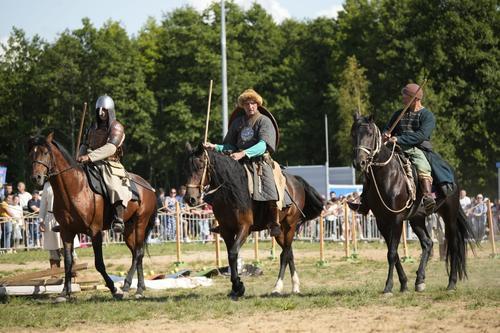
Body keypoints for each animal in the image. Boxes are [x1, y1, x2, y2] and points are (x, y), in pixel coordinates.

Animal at [28, 133, 156, 300]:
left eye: (45, 152)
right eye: (32, 154)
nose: (36, 177)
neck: (76, 189)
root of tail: (149, 186)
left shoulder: (95, 232)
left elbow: (99, 263)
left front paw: (114, 289)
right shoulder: (66, 232)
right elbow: (68, 263)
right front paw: (64, 293)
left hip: (141, 223)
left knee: (138, 253)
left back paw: (129, 287)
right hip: (128, 229)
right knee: (137, 253)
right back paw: (138, 288)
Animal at [184, 143, 324, 298]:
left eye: (200, 167)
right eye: (187, 169)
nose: (190, 199)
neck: (231, 191)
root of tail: (296, 181)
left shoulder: (244, 228)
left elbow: (233, 253)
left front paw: (238, 286)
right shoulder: (226, 230)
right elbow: (230, 256)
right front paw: (235, 288)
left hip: (290, 226)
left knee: (285, 254)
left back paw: (278, 287)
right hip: (281, 231)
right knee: (289, 253)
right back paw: (295, 286)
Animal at [352, 113, 472, 294]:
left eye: (370, 134)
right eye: (353, 134)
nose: (359, 163)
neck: (387, 175)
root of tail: (453, 174)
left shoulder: (396, 220)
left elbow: (392, 253)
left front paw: (388, 287)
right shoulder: (381, 221)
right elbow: (393, 253)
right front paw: (403, 284)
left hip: (449, 214)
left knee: (453, 244)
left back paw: (451, 283)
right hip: (417, 218)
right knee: (428, 244)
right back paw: (420, 280)